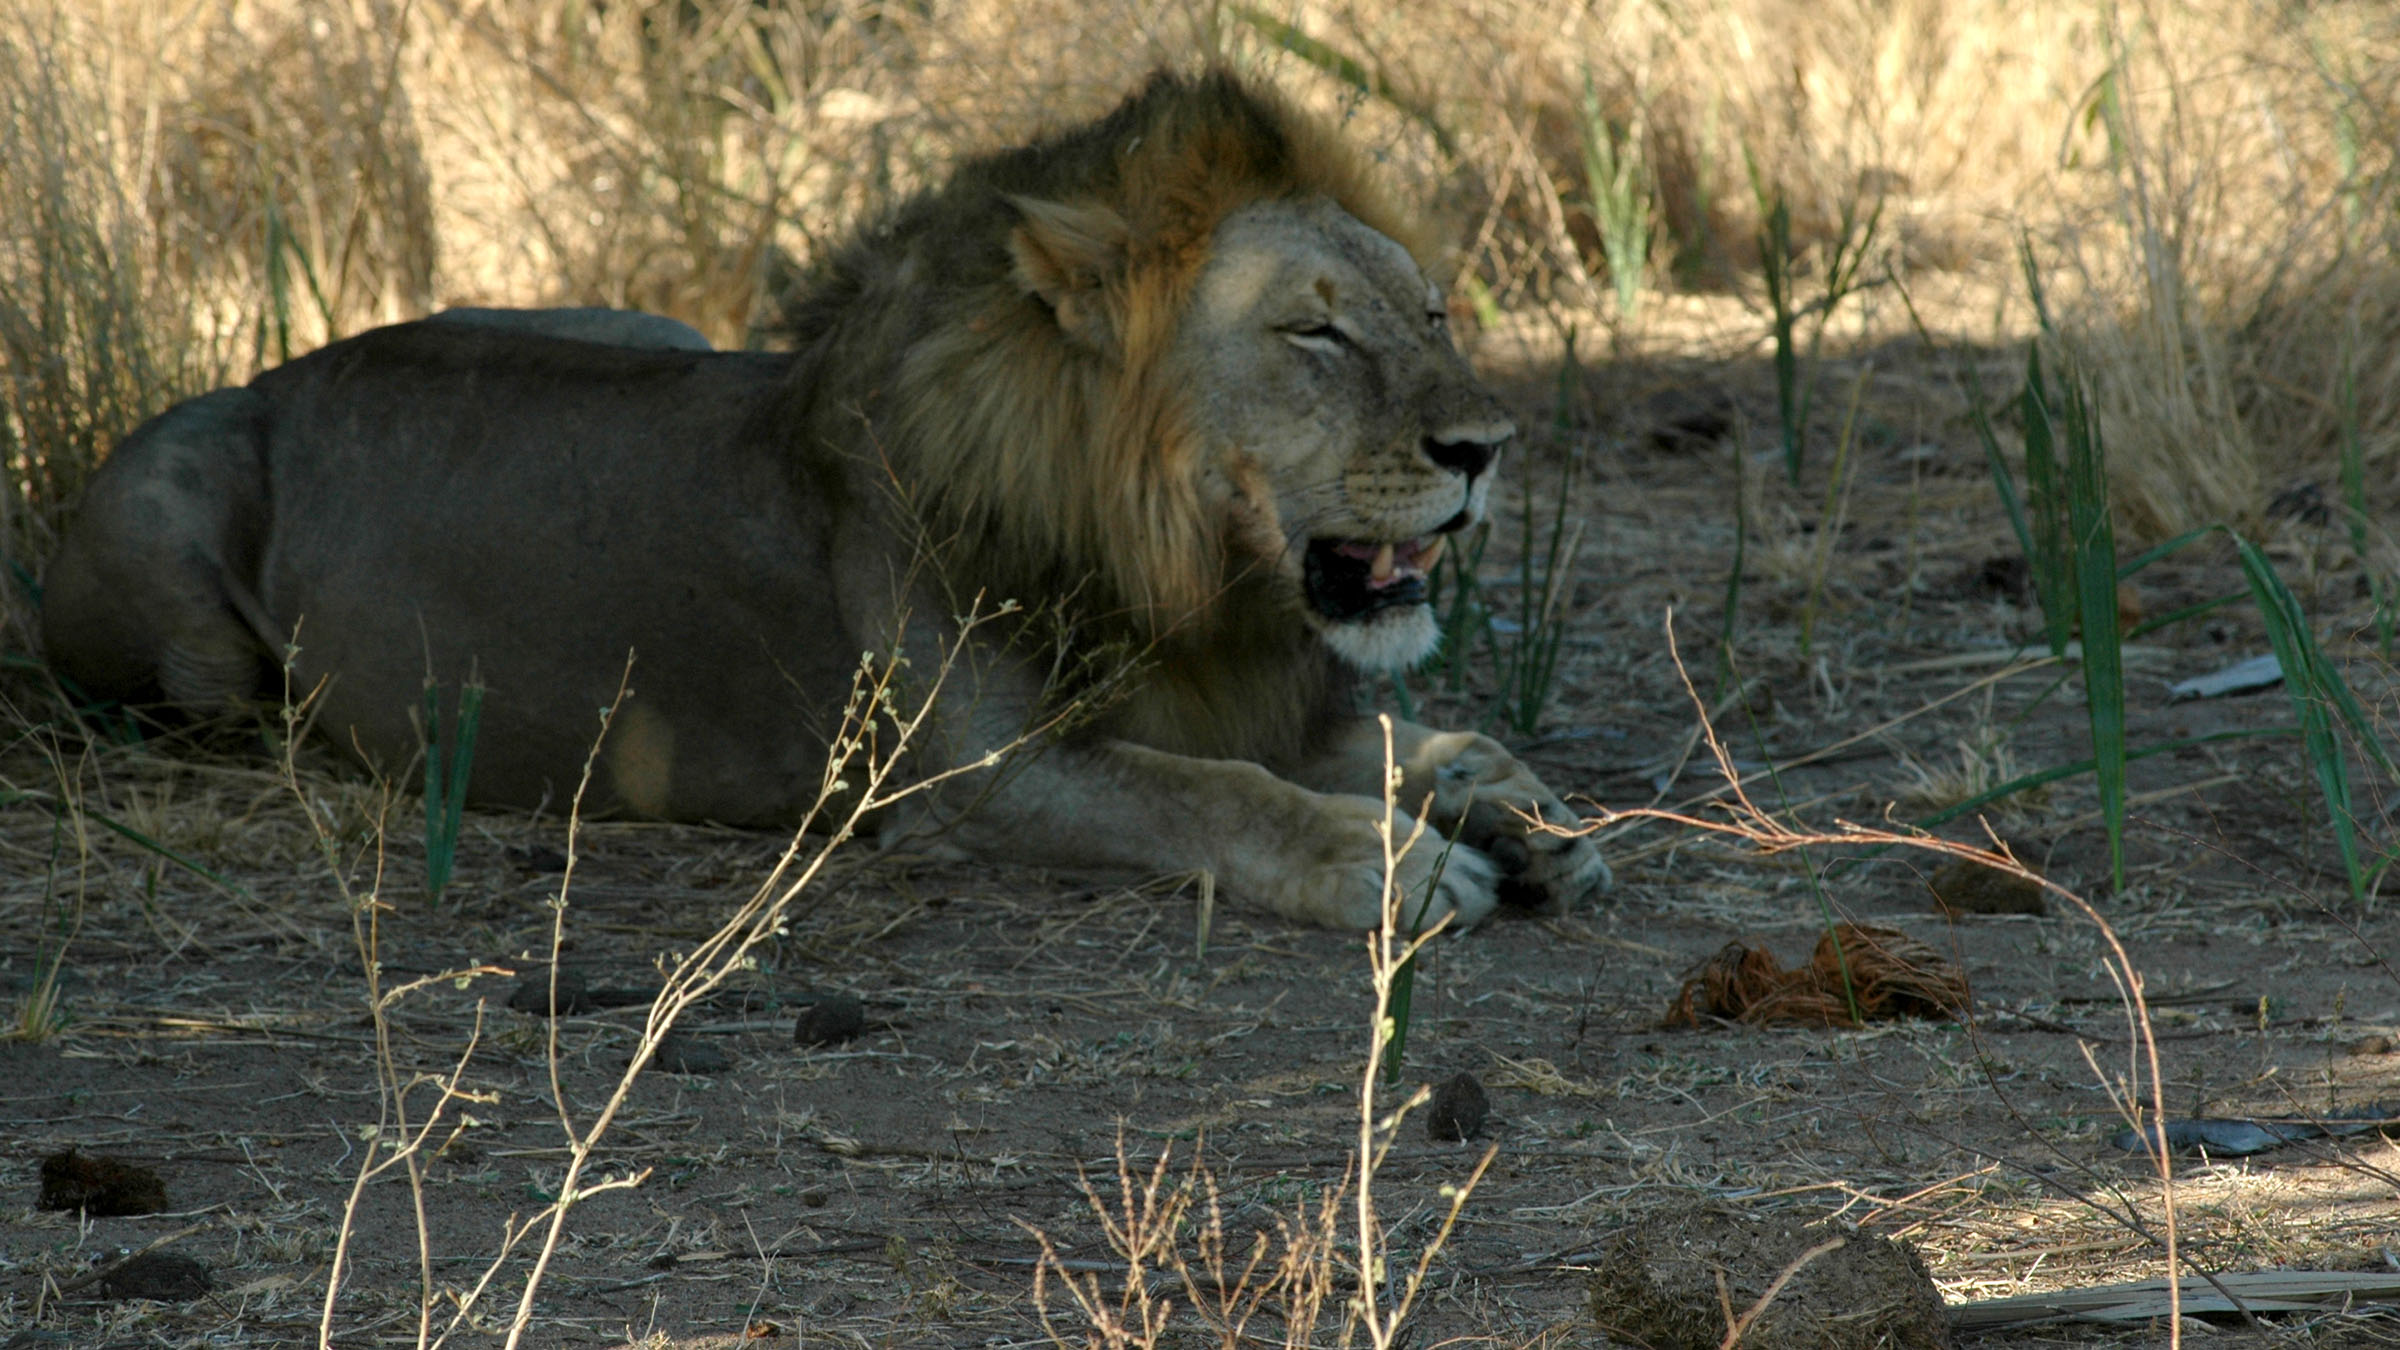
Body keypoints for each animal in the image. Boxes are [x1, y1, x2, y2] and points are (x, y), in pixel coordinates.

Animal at [37, 68, 1603, 932]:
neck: (1189, 578)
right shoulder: (981, 781)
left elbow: (1407, 741)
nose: (1489, 444)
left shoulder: (1255, 694)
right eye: (1316, 333)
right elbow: (1215, 793)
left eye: (1433, 312)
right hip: (188, 592)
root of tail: (281, 367)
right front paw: (1395, 862)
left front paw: (1517, 811)